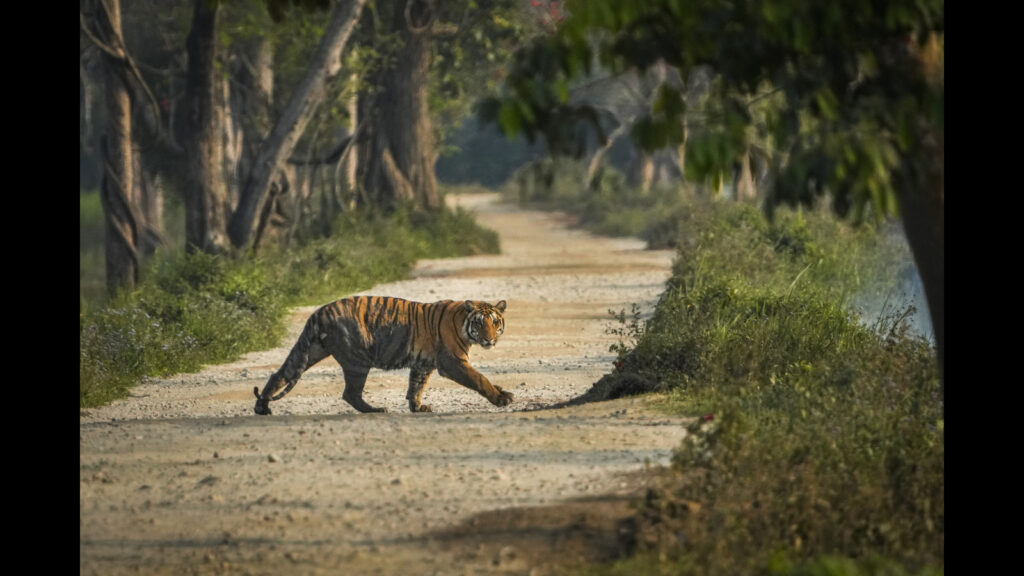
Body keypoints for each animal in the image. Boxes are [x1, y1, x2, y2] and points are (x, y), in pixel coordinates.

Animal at [253, 296, 514, 415]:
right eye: (479, 324)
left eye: (495, 322)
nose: (490, 339)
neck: (462, 322)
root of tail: (319, 313)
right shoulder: (452, 361)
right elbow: (479, 379)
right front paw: (501, 398)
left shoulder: (423, 364)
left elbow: (416, 386)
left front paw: (417, 407)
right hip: (357, 360)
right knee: (350, 393)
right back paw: (375, 410)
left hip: (308, 351)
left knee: (280, 374)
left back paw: (261, 406)